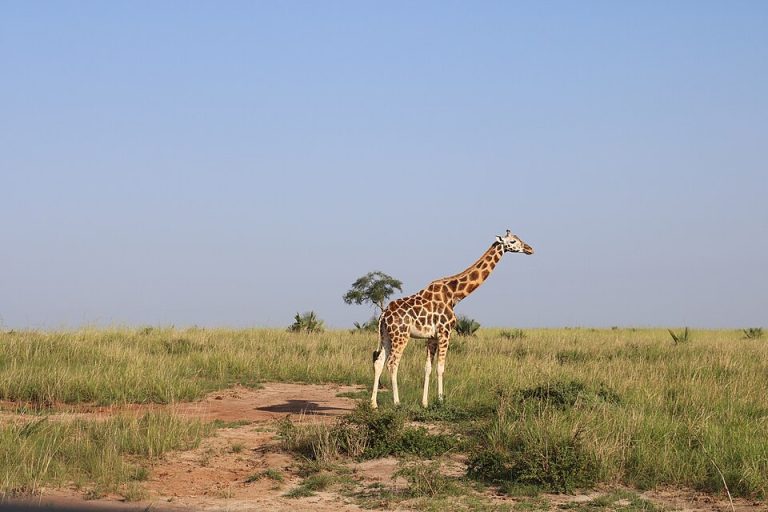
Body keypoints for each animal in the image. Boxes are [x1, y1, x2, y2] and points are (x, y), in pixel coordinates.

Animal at [370, 230, 534, 409]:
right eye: (513, 241)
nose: (530, 249)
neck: (455, 294)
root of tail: (383, 315)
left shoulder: (432, 337)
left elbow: (428, 367)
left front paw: (425, 402)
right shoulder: (445, 332)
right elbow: (440, 367)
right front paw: (441, 400)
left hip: (386, 336)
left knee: (379, 362)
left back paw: (373, 404)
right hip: (401, 336)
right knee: (392, 363)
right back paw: (397, 402)